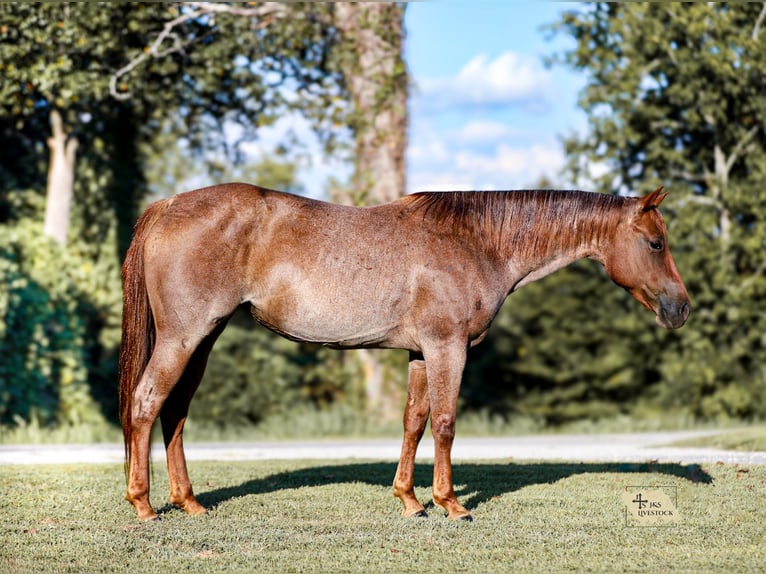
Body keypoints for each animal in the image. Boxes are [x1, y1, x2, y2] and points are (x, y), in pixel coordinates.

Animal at [119, 183, 690, 522]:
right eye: (656, 243)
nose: (681, 307)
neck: (476, 241)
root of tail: (169, 205)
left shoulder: (420, 353)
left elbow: (414, 421)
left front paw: (410, 500)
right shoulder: (447, 347)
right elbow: (445, 424)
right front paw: (450, 503)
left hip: (203, 339)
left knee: (175, 411)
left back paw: (189, 502)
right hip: (184, 337)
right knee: (147, 403)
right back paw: (144, 506)